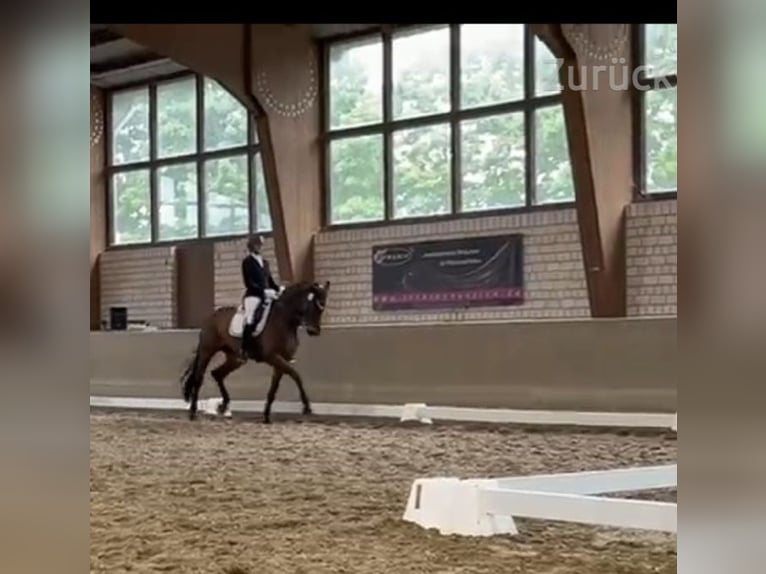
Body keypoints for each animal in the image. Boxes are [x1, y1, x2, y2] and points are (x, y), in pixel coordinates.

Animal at [179, 280, 330, 423]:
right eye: (315, 305)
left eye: (323, 306)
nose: (314, 331)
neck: (285, 320)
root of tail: (212, 316)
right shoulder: (272, 356)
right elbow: (295, 375)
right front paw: (307, 407)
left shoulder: (282, 359)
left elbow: (274, 387)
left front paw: (266, 416)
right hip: (207, 351)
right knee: (198, 377)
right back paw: (193, 412)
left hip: (235, 358)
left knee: (217, 374)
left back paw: (223, 406)